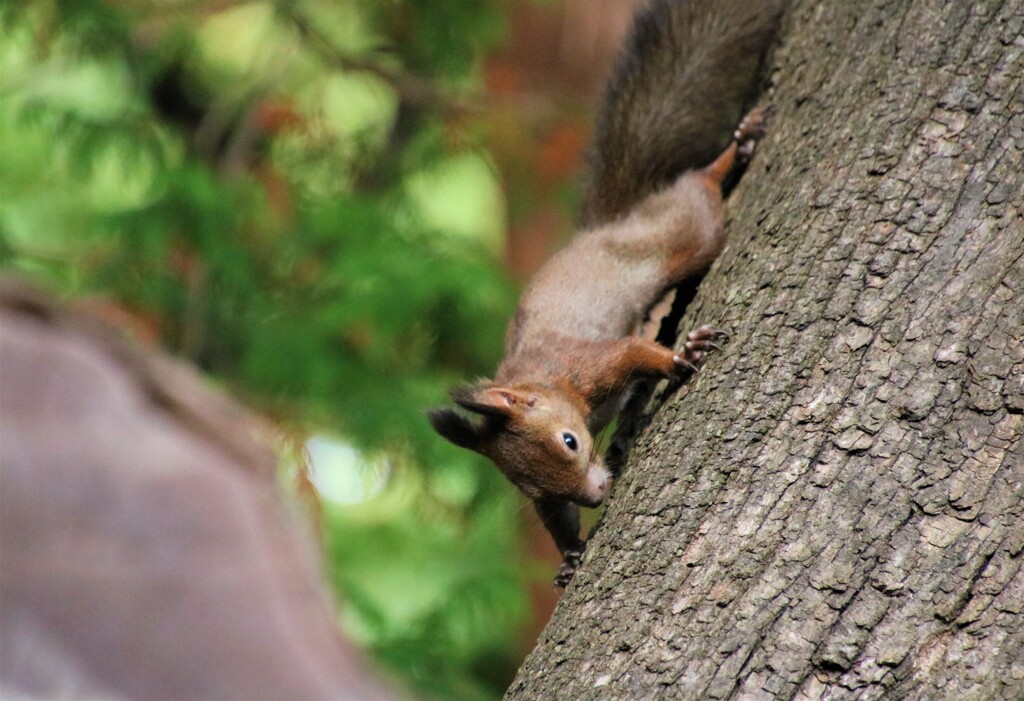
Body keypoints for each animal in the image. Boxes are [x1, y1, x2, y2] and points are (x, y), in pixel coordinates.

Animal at [428, 0, 778, 585]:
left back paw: (737, 147)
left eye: (570, 442)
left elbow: (638, 352)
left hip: (681, 236)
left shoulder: (593, 363)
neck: (547, 382)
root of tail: (609, 226)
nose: (594, 496)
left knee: (698, 189)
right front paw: (570, 555)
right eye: (528, 487)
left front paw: (681, 356)